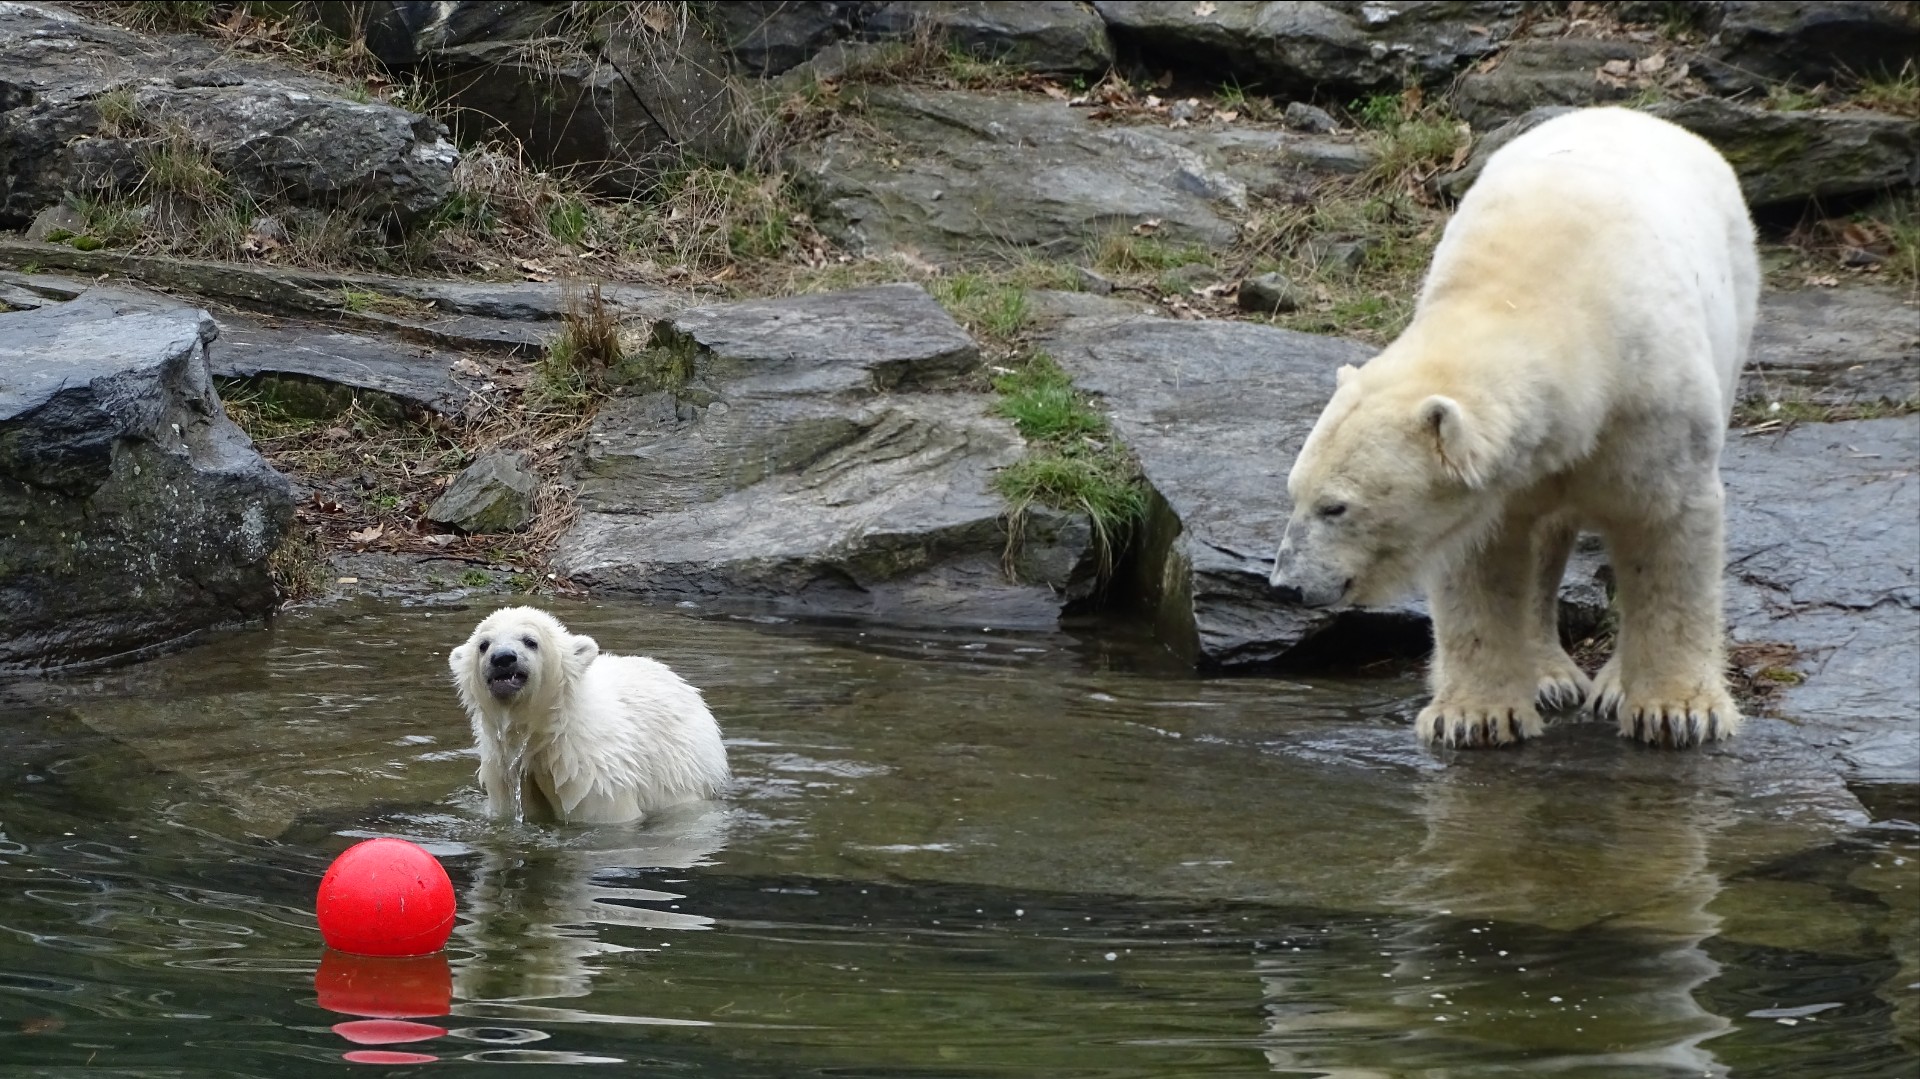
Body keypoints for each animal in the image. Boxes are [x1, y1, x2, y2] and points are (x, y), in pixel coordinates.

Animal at [1267, 111, 1758, 748]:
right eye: (1294, 494)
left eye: (1335, 507)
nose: (1286, 584)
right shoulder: (1504, 477)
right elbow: (1482, 560)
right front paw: (1473, 716)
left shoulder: (1653, 402)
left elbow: (1665, 530)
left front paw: (1676, 710)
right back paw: (1548, 674)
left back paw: (1612, 682)